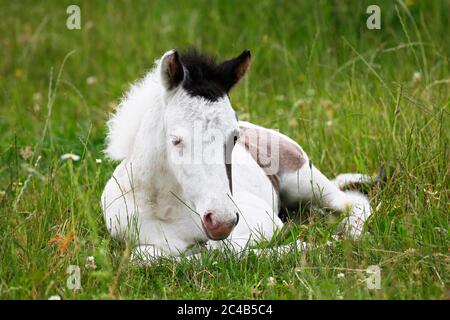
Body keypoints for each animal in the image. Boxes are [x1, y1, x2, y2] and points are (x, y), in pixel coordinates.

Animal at [101, 49, 372, 262]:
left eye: (233, 137)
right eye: (176, 140)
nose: (221, 221)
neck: (162, 208)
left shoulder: (265, 220)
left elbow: (223, 250)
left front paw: (309, 245)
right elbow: (144, 256)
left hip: (305, 182)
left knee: (353, 202)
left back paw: (350, 233)